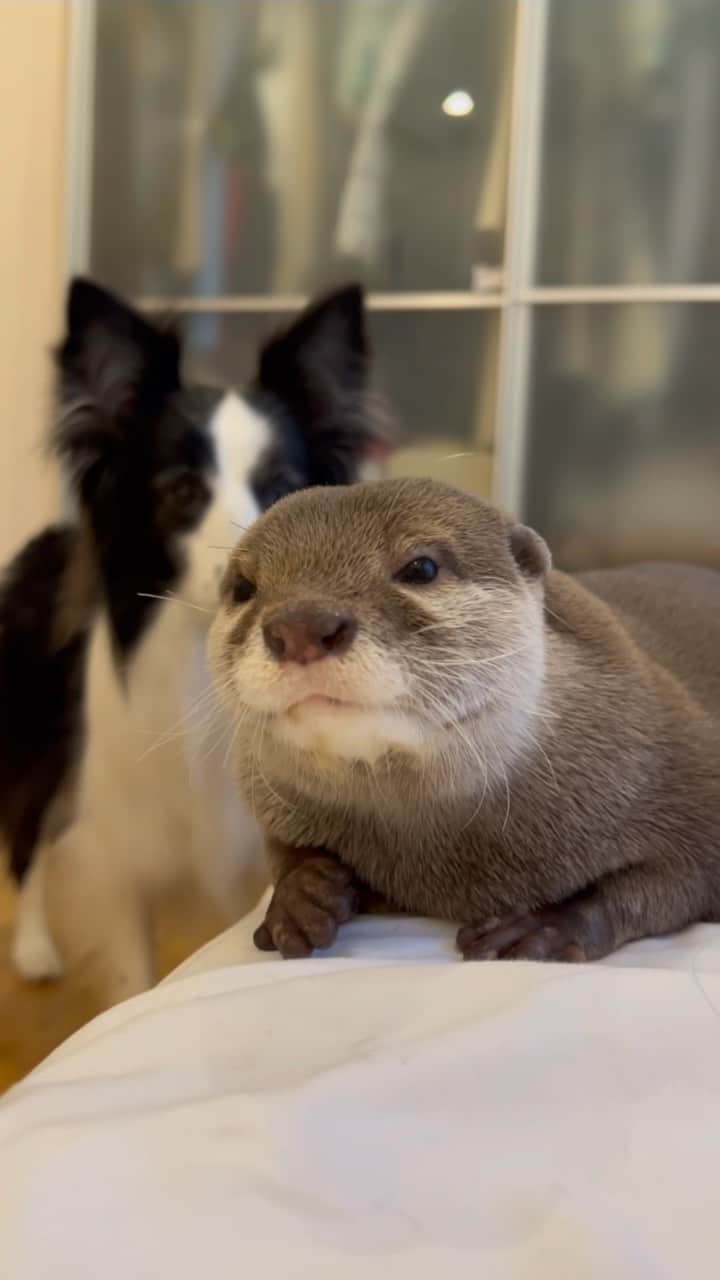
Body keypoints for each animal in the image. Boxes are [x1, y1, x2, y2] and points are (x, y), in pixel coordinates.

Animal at [209, 477, 720, 963]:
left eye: (421, 568)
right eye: (243, 587)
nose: (300, 626)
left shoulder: (682, 781)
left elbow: (666, 885)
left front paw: (544, 927)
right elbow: (281, 851)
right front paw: (300, 897)